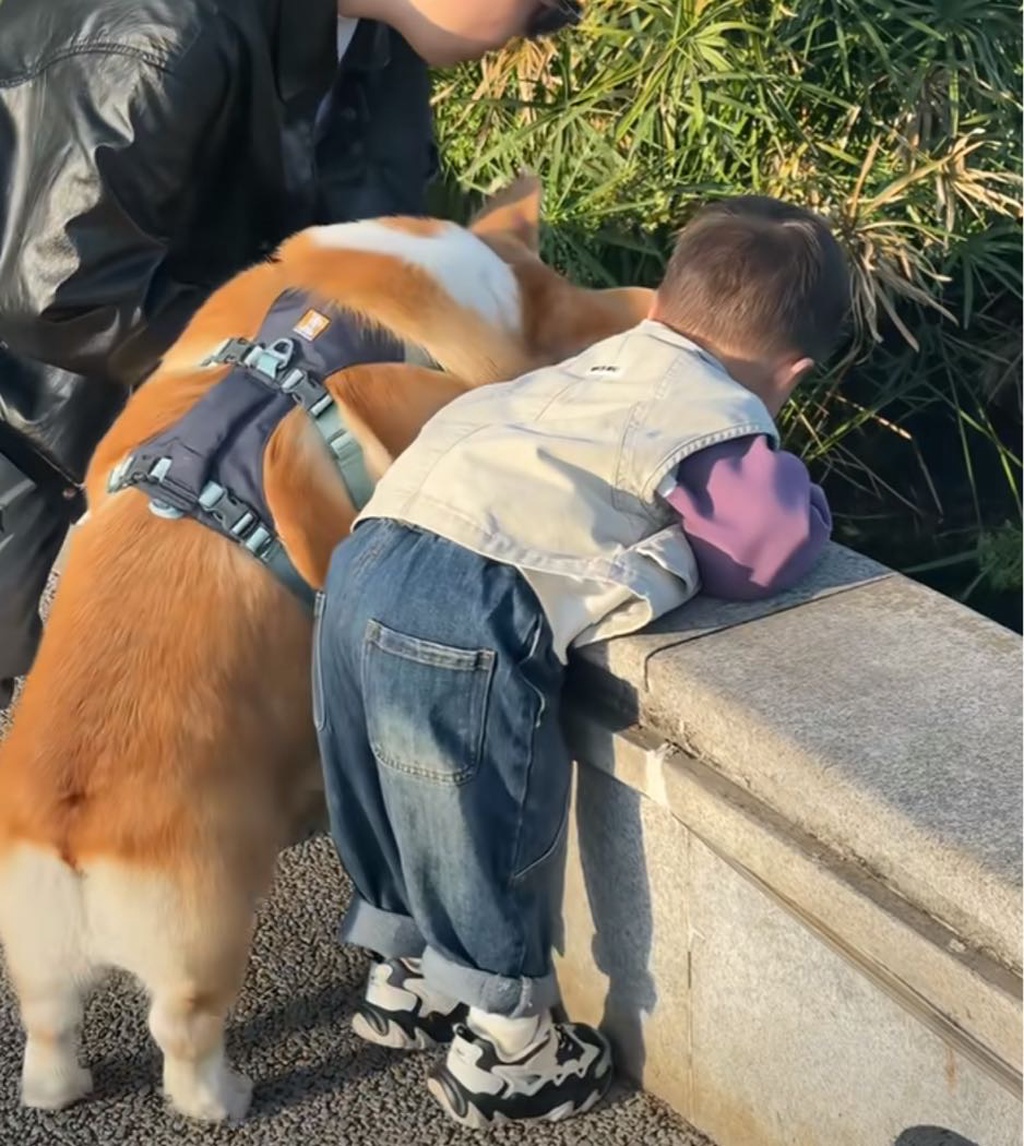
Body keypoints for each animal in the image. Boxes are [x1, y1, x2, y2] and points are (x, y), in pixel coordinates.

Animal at [0, 174, 653, 1123]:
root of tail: (70, 831)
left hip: (35, 950)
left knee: (49, 1027)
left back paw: (61, 1088)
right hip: (203, 928)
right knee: (181, 1031)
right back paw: (225, 1097)